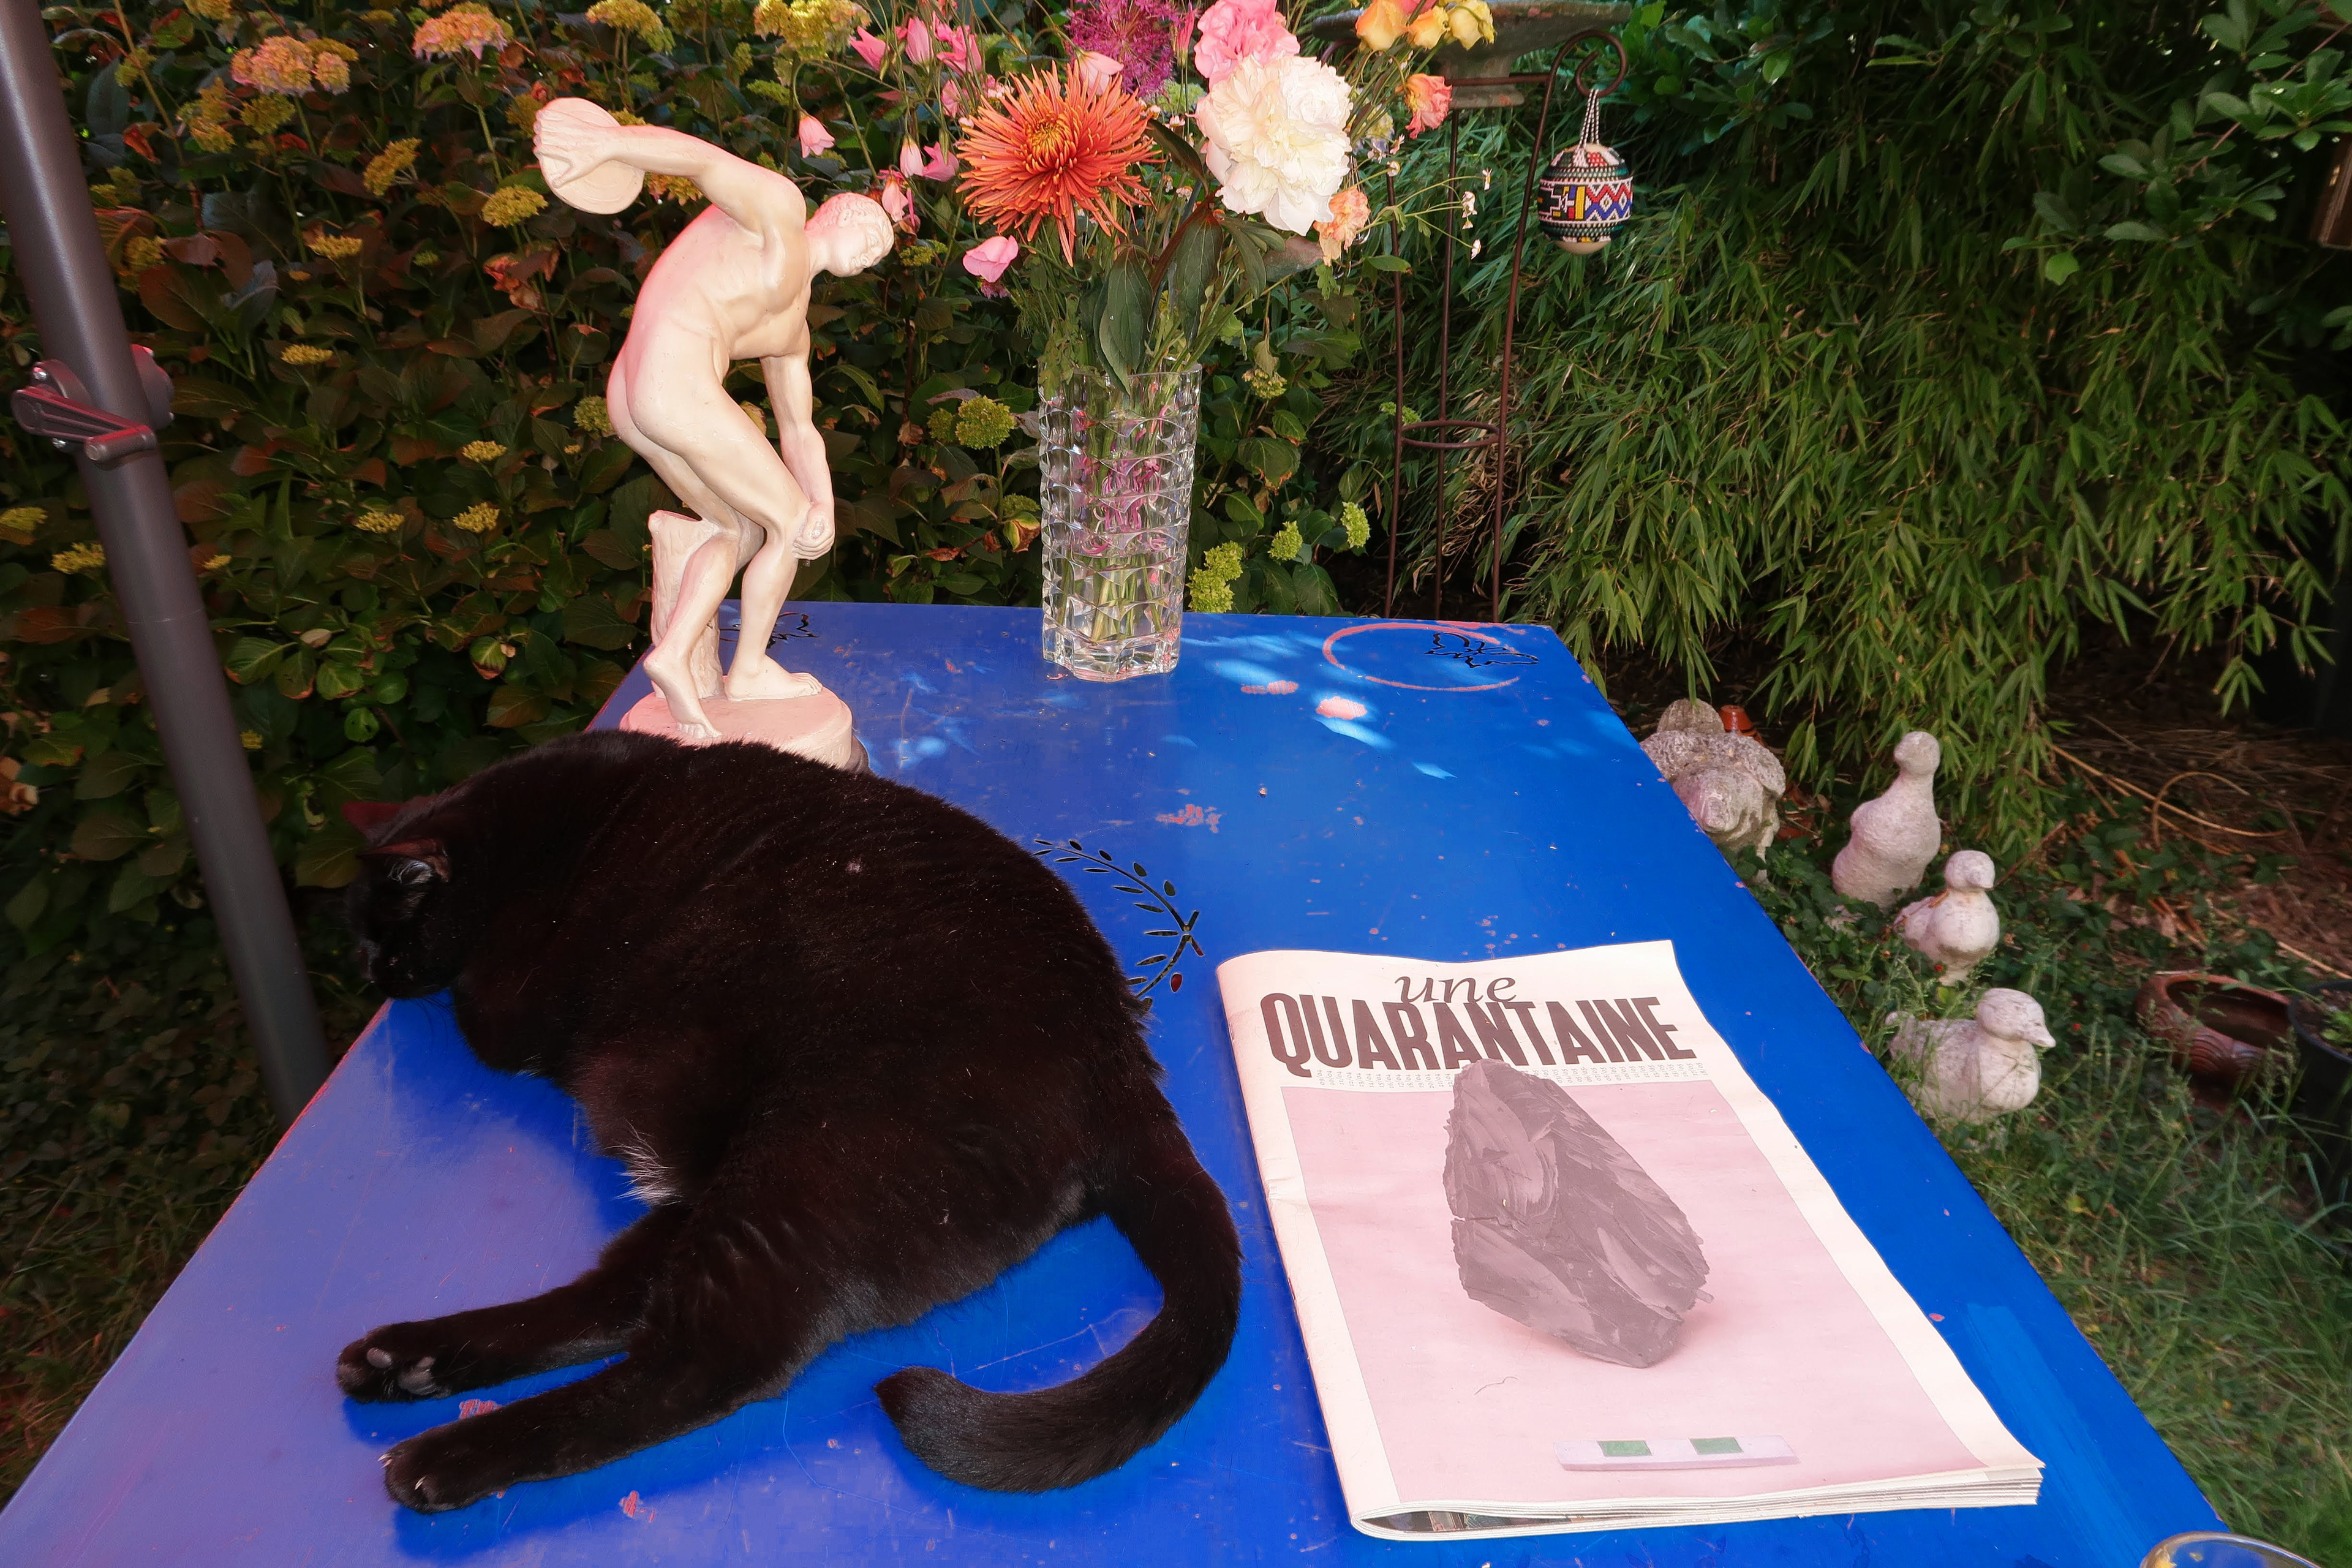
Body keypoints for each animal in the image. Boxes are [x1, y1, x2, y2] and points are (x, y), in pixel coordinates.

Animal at [337, 728, 1241, 1513]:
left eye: (388, 936)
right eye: (359, 942)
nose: (372, 977)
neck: (540, 826)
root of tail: (1123, 1067)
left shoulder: (504, 1007)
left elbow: (474, 1007)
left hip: (804, 1171)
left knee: (698, 1361)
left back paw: (447, 1456)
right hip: (748, 1186)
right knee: (619, 1303)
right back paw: (407, 1360)